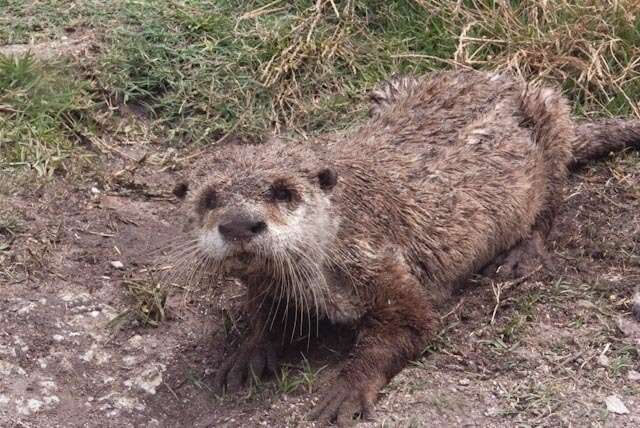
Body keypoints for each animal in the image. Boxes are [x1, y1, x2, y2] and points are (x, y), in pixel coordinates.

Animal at [176, 70, 640, 424]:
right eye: (209, 198)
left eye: (283, 191)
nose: (240, 224)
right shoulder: (273, 282)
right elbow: (266, 315)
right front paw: (248, 353)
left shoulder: (377, 262)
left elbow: (410, 323)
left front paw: (349, 388)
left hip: (549, 114)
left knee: (551, 201)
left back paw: (522, 253)